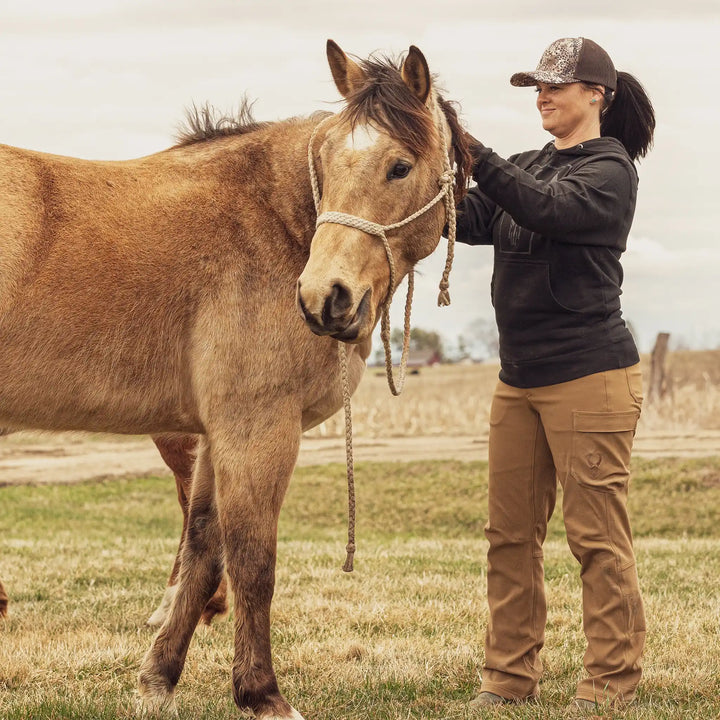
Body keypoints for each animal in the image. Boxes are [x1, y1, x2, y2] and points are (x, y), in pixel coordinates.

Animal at [0, 40, 471, 719]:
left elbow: (203, 548)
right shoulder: (256, 427)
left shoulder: (213, 434)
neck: (269, 219)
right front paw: (262, 693)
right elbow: (252, 560)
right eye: (325, 162)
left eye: (399, 167)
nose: (324, 298)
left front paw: (158, 680)